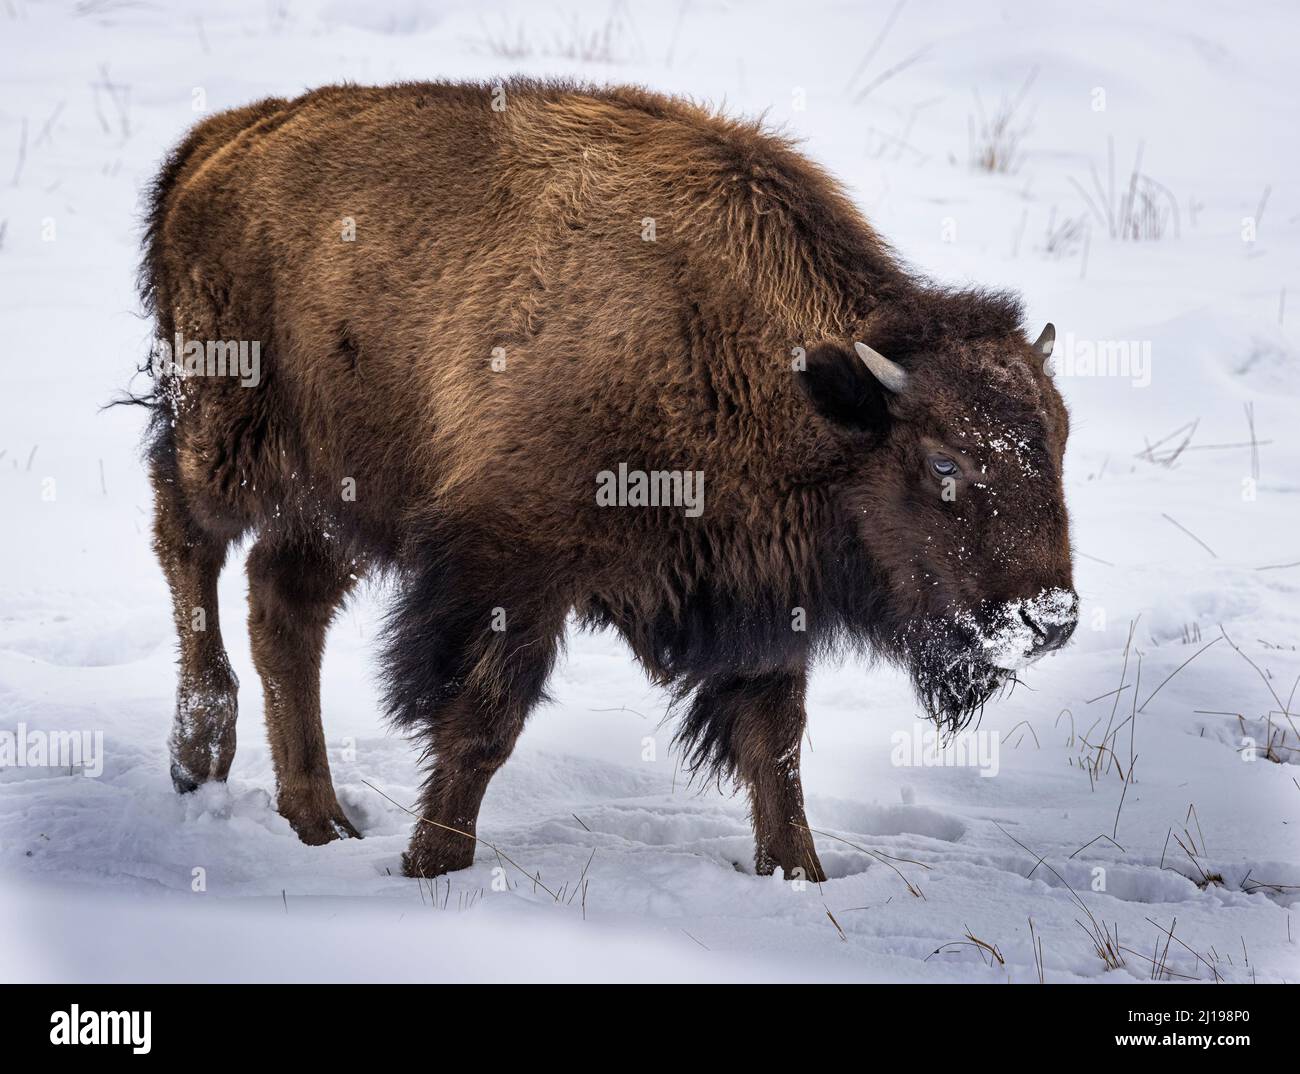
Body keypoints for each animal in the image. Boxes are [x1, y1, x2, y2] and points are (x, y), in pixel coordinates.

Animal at [131, 77, 1076, 878]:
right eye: (944, 459)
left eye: (1061, 441)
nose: (1051, 618)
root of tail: (219, 142)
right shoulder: (511, 568)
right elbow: (482, 726)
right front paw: (433, 866)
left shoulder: (761, 591)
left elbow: (776, 746)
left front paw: (798, 877)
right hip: (226, 435)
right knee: (187, 543)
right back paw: (199, 753)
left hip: (347, 493)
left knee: (281, 601)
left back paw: (319, 821)